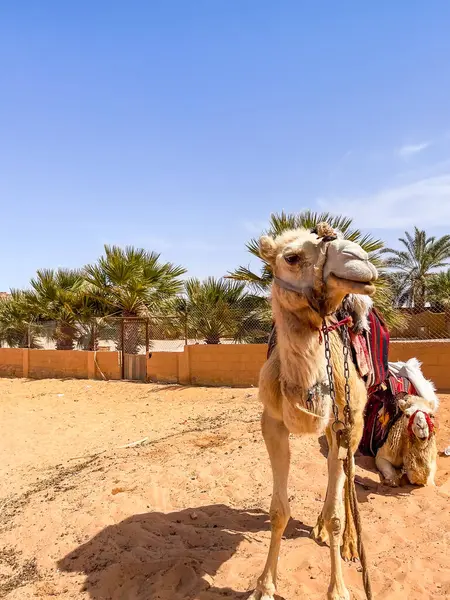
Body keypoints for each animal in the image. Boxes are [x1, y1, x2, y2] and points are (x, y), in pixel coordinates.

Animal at [251, 225, 378, 600]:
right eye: (292, 257)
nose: (359, 259)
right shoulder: (272, 423)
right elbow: (278, 512)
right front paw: (265, 585)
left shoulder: (344, 421)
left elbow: (337, 513)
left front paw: (338, 590)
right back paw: (319, 526)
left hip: (356, 419)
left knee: (347, 474)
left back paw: (350, 545)